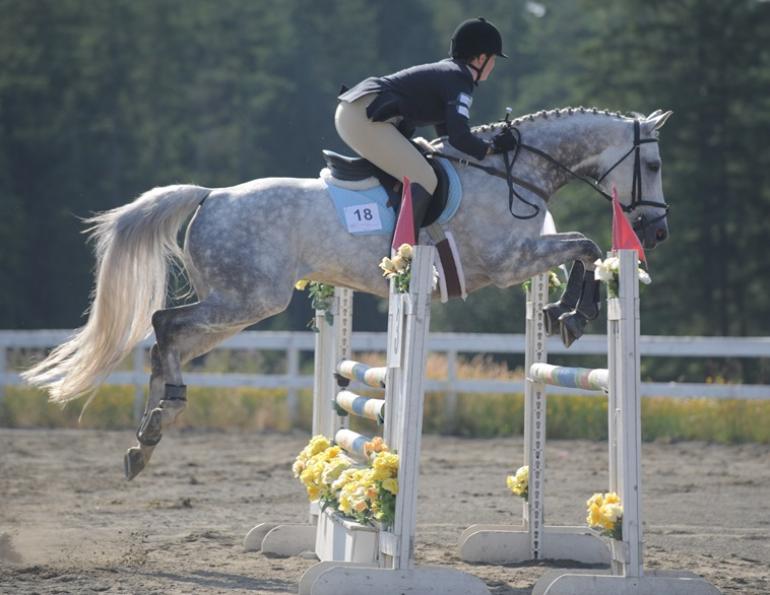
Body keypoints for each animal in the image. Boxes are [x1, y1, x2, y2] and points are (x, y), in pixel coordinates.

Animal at [23, 107, 672, 479]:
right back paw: (161, 419)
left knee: (170, 340)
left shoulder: (522, 257)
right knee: (162, 324)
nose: (657, 232)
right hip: (247, 301)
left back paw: (146, 439)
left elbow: (582, 248)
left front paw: (566, 311)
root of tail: (210, 195)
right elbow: (586, 244)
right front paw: (574, 313)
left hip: (236, 310)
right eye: (655, 165)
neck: (511, 172)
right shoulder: (508, 261)